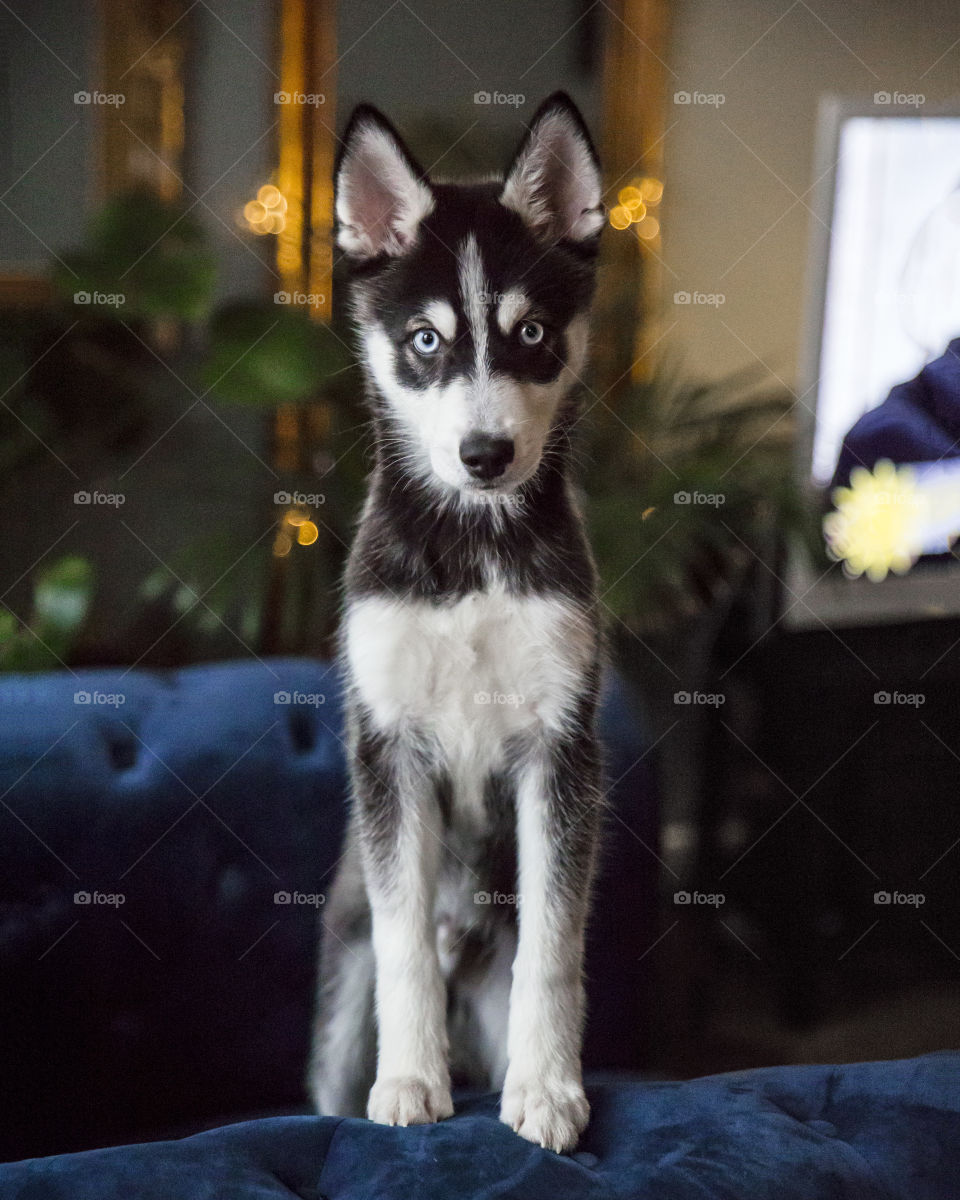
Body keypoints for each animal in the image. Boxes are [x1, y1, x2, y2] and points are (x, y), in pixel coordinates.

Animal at [312, 93, 604, 1152]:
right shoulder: (388, 744)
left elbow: (554, 943)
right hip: (338, 982)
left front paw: (548, 1088)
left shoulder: (564, 747)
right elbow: (403, 945)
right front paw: (409, 1080)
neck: (473, 549)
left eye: (532, 333)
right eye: (427, 341)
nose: (486, 455)